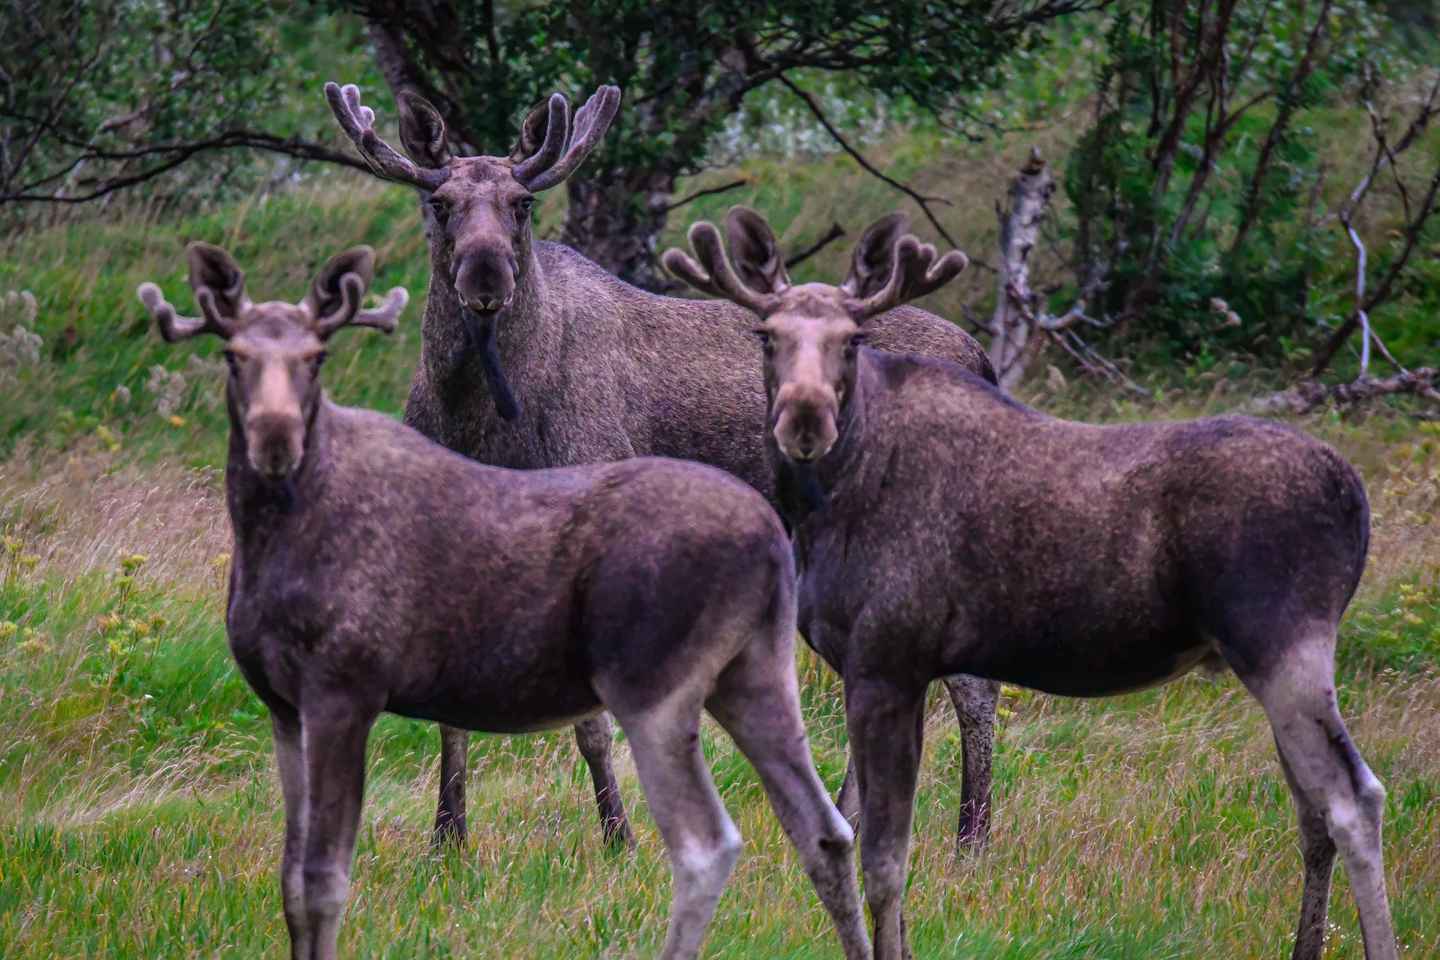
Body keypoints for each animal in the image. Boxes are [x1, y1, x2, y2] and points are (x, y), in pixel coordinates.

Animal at [135, 241, 873, 960]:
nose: (275, 437)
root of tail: (768, 537)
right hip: (752, 675)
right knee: (824, 828)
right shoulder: (283, 708)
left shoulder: (344, 691)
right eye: (232, 356)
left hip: (656, 688)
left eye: (317, 358)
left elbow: (324, 879)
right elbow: (291, 878)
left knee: (708, 843)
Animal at [323, 80, 1002, 854]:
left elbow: (593, 722)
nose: (487, 274)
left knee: (972, 683)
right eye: (438, 203)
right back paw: (854, 823)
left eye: (522, 204)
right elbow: (448, 715)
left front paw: (619, 834)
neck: (479, 422)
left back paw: (972, 837)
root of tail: (981, 355)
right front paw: (448, 836)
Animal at [661, 206, 1398, 960]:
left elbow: (884, 856)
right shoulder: (881, 669)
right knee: (1312, 812)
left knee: (1355, 798)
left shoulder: (888, 661)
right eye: (766, 335)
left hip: (1281, 643)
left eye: (853, 340)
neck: (827, 507)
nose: (805, 416)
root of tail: (1356, 498)